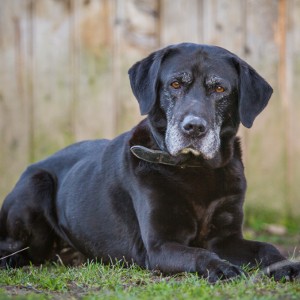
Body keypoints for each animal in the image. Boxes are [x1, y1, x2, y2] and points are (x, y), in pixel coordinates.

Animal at [0, 43, 300, 282]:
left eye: (219, 88)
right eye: (175, 84)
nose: (193, 128)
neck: (196, 170)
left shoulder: (226, 238)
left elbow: (266, 248)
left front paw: (286, 266)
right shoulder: (159, 246)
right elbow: (199, 254)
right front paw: (221, 268)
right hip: (36, 185)